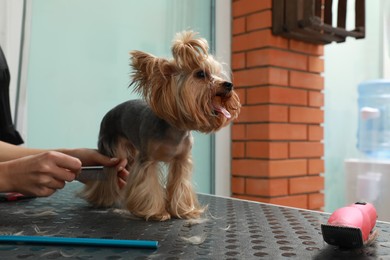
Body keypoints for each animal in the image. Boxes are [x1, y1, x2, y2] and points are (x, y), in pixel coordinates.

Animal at [81, 31, 241, 221]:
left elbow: (180, 184)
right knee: (108, 175)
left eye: (218, 74)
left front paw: (183, 211)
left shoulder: (181, 161)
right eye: (201, 74)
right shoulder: (147, 159)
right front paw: (155, 212)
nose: (229, 84)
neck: (176, 129)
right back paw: (100, 199)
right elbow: (148, 184)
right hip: (111, 150)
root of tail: (109, 113)